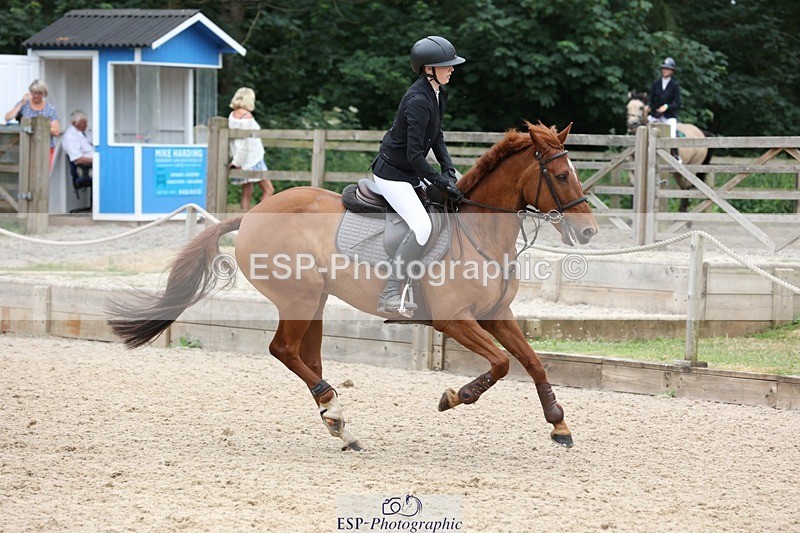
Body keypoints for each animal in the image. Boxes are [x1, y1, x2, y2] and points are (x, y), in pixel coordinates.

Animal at [106, 122, 598, 451]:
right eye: (560, 176)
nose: (589, 232)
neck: (479, 234)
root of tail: (251, 215)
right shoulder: (454, 321)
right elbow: (500, 363)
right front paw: (454, 396)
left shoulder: (496, 315)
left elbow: (532, 362)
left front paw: (559, 424)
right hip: (300, 297)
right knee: (283, 351)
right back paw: (335, 409)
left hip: (316, 302)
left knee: (307, 358)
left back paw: (338, 424)